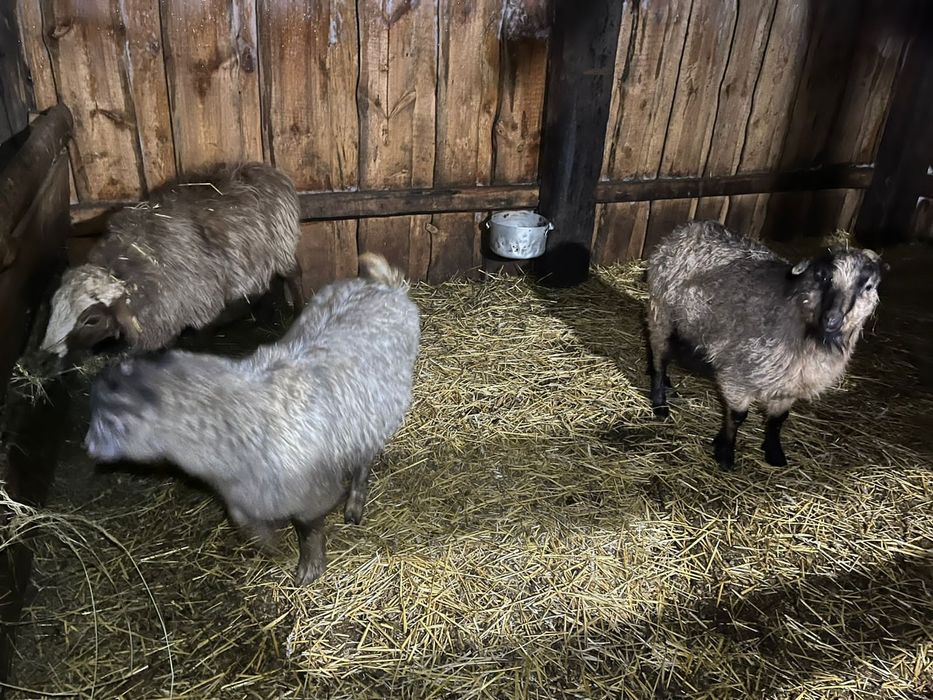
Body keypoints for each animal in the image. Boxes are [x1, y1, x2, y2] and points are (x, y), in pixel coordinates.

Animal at [40, 162, 302, 359]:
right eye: (53, 306)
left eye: (91, 320)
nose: (47, 353)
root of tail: (261, 167)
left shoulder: (200, 304)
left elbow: (202, 337)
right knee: (268, 286)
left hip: (284, 248)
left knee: (294, 277)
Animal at [84, 253, 420, 585]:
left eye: (112, 418)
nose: (88, 447)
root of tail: (381, 285)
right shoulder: (241, 495)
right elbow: (247, 525)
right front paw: (269, 544)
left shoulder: (310, 492)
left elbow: (308, 529)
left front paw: (308, 566)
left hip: (378, 413)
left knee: (364, 460)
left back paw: (354, 502)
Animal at [646, 220, 885, 471]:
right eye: (823, 276)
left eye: (868, 287)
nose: (832, 319)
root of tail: (690, 227)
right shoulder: (737, 374)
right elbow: (737, 416)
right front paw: (725, 452)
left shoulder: (790, 383)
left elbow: (778, 420)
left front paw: (774, 452)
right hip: (662, 313)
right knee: (659, 357)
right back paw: (660, 402)